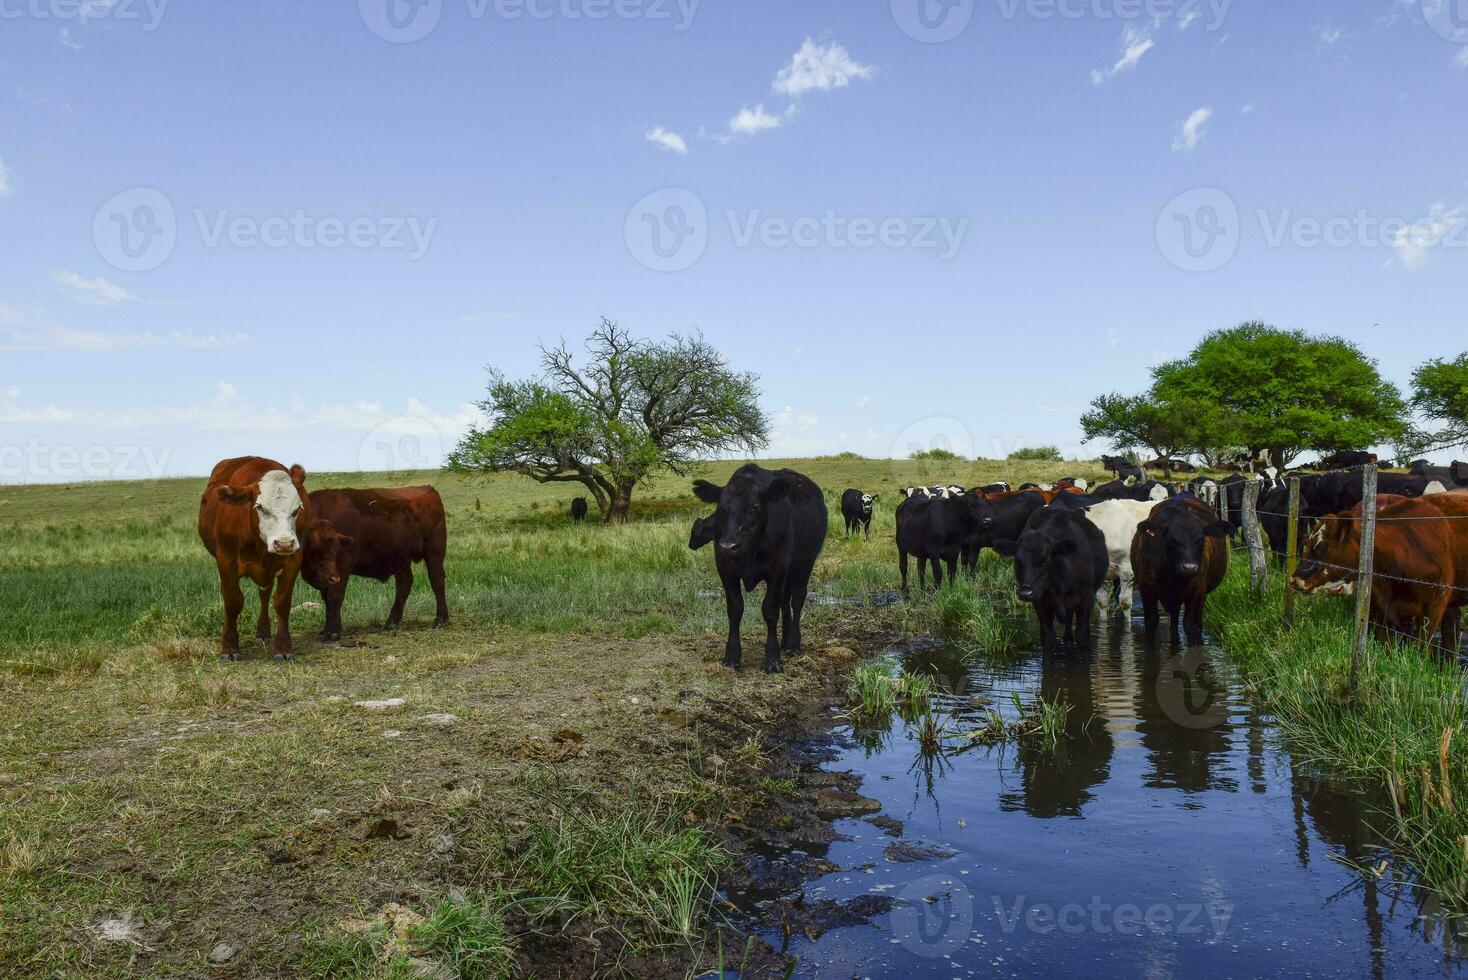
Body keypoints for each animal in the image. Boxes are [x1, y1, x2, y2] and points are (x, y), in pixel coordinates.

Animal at [198, 457, 309, 657]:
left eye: (297, 509)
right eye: (260, 507)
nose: (284, 543)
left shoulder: (293, 560)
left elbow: (282, 602)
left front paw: (283, 647)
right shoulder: (226, 561)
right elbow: (233, 601)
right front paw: (229, 645)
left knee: (264, 594)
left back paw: (263, 632)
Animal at [302, 484, 446, 639]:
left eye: (335, 550)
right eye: (314, 550)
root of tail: (428, 489)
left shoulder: (341, 569)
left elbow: (335, 596)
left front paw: (332, 632)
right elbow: (326, 599)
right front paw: (326, 629)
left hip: (434, 552)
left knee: (436, 580)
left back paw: (440, 620)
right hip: (402, 559)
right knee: (404, 584)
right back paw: (391, 623)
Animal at [998, 504, 1109, 657]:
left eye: (1044, 559)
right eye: (1017, 561)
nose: (1026, 593)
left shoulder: (1086, 599)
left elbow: (1082, 638)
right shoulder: (1040, 602)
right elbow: (1048, 639)